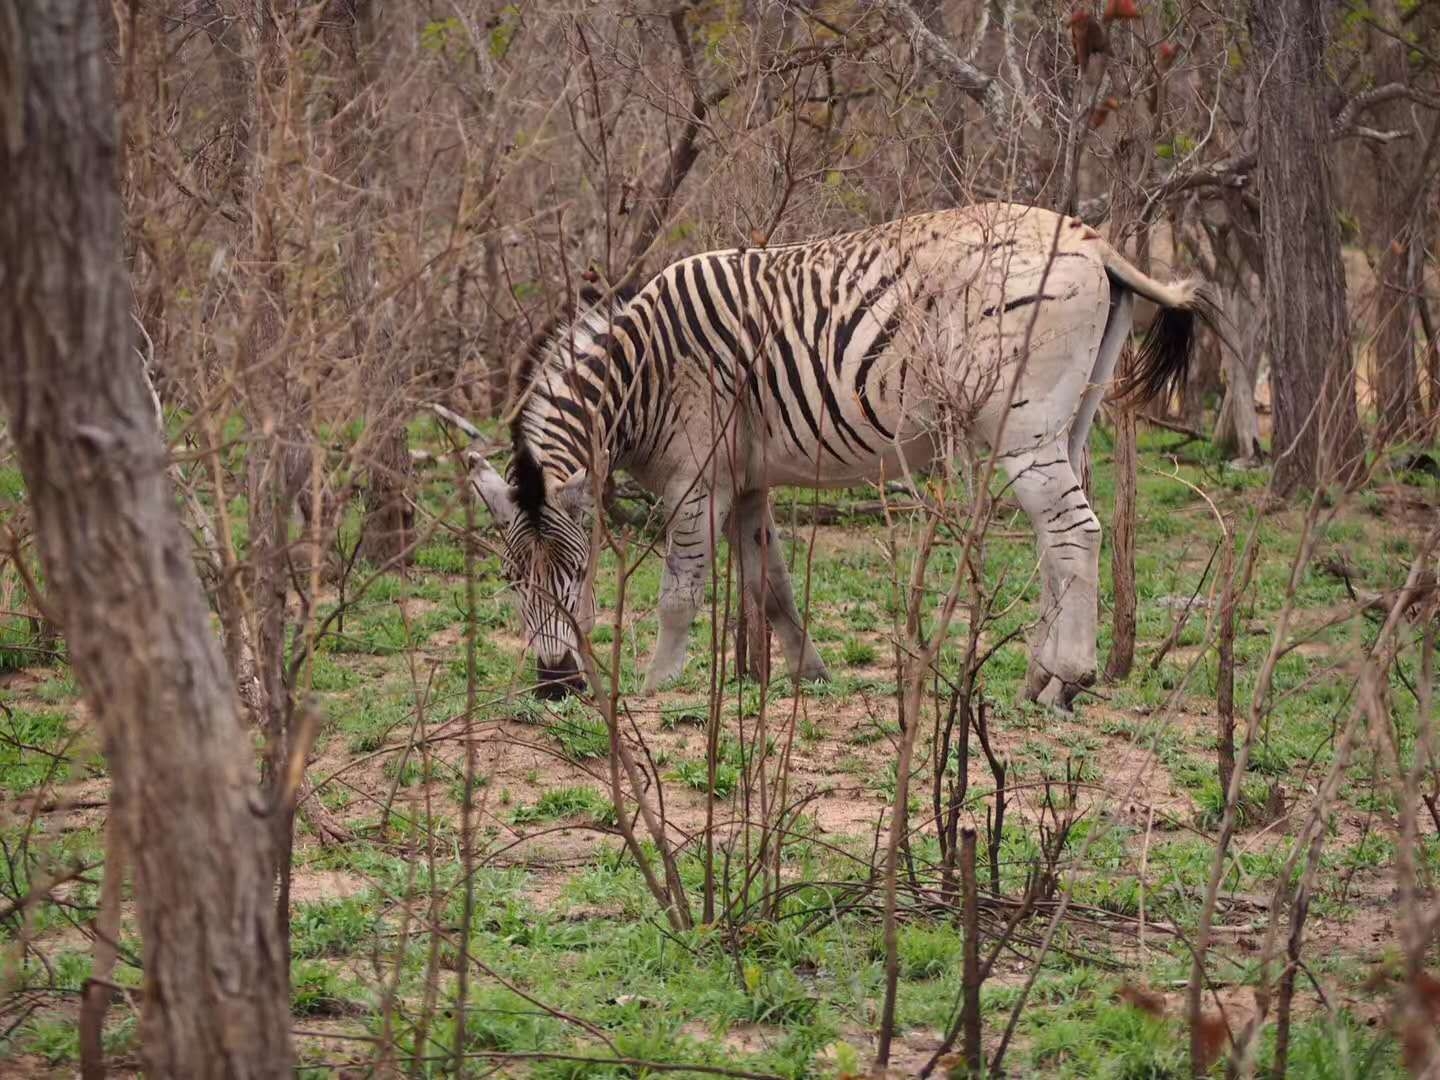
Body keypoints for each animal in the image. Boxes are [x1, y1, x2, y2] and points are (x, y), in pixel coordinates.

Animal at [472, 203, 1215, 711]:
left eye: (577, 569)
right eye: (509, 579)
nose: (554, 685)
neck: (641, 376)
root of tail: (1094, 241)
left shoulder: (695, 481)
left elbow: (679, 594)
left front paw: (657, 687)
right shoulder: (747, 483)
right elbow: (771, 587)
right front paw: (810, 674)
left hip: (1022, 429)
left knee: (1074, 533)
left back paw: (1066, 681)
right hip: (1067, 424)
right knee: (1056, 538)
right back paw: (1038, 674)